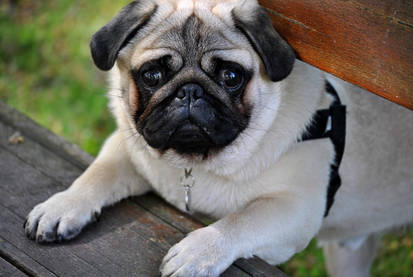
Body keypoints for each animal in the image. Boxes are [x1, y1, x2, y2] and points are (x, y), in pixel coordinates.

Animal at [25, 0, 412, 276]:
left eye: (231, 76)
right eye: (152, 75)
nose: (189, 91)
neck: (195, 164)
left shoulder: (294, 207)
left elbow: (241, 220)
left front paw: (198, 250)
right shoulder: (128, 149)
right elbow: (97, 175)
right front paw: (64, 205)